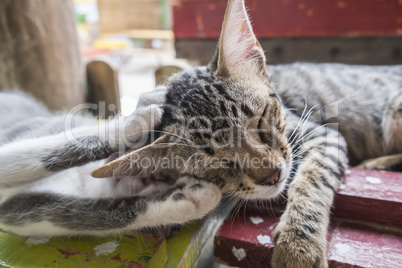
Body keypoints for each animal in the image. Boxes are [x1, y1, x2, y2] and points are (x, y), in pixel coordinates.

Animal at [0, 0, 402, 268]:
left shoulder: (321, 135)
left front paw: (297, 246)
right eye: (221, 164)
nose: (272, 176)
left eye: (261, 121)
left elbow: (312, 179)